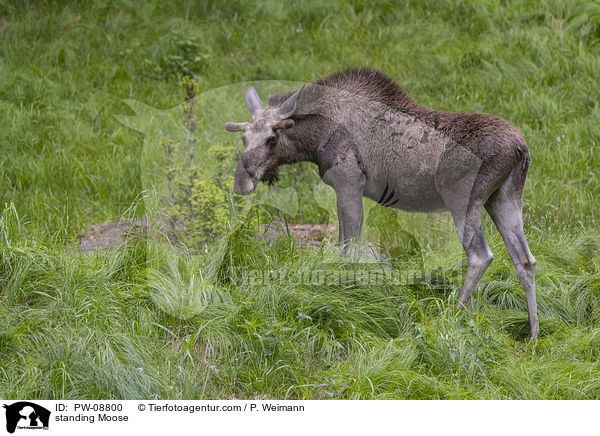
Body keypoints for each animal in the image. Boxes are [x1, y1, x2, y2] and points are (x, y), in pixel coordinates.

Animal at [226, 69, 540, 340]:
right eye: (243, 137)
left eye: (272, 138)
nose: (241, 181)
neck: (315, 141)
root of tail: (520, 147)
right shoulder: (343, 189)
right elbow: (341, 246)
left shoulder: (349, 183)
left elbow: (349, 250)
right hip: (504, 199)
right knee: (525, 259)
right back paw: (534, 334)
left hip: (463, 200)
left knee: (480, 255)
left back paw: (452, 315)